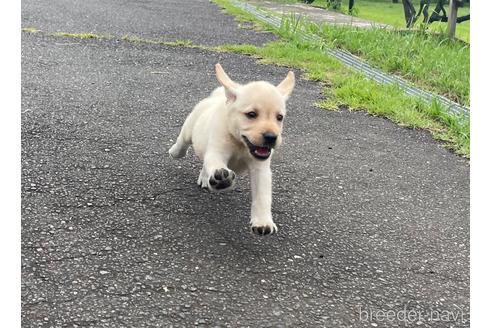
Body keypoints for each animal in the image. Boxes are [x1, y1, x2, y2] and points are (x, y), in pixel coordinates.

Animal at [169, 62, 294, 234]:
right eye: (251, 114)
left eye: (279, 117)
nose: (271, 137)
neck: (240, 144)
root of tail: (218, 96)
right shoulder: (217, 151)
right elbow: (215, 163)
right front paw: (222, 179)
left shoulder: (260, 169)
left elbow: (262, 195)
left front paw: (262, 221)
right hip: (190, 128)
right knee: (182, 142)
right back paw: (175, 152)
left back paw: (206, 178)